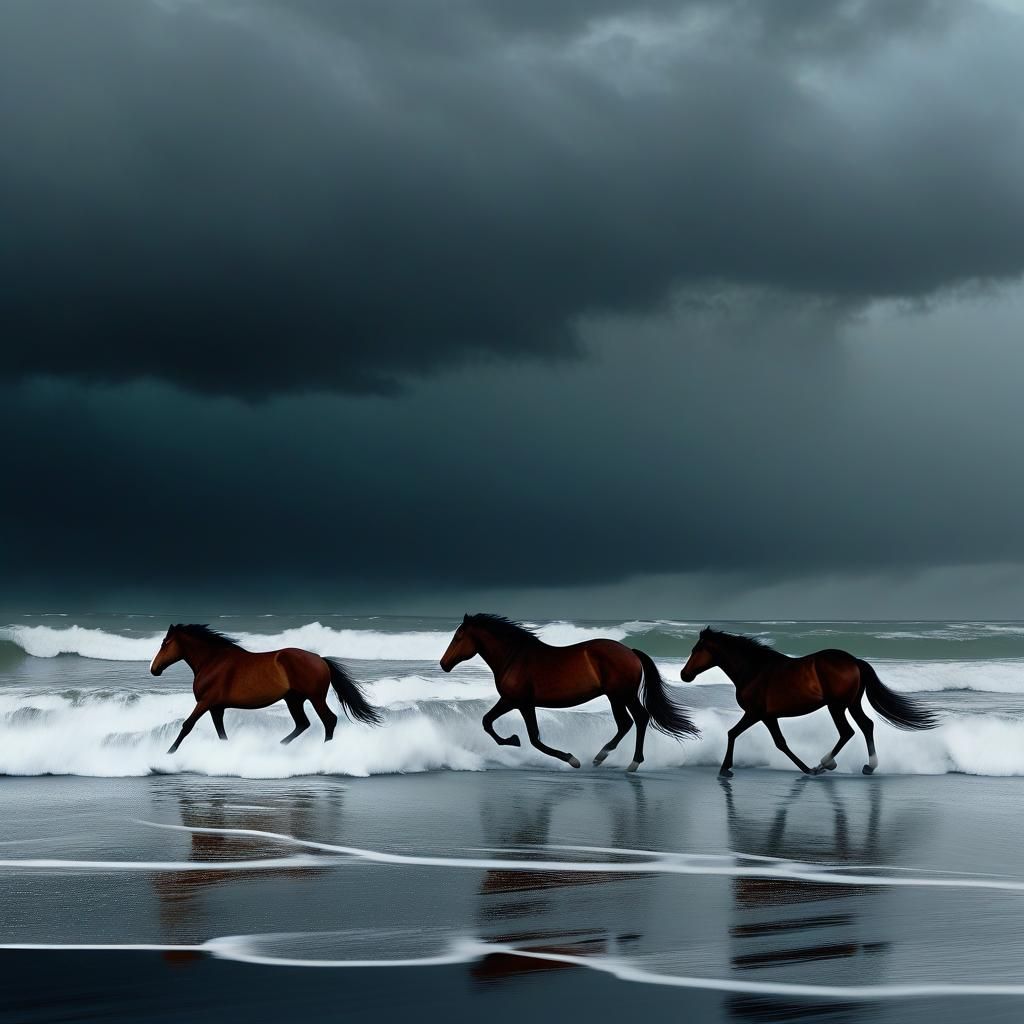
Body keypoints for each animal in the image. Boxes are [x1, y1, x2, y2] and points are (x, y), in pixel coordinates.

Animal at [151, 624, 381, 753]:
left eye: (164, 643)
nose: (154, 669)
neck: (212, 661)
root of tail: (320, 659)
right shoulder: (217, 708)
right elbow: (221, 733)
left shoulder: (205, 702)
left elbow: (187, 726)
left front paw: (168, 754)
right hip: (293, 699)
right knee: (302, 724)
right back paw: (277, 747)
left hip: (315, 698)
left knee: (329, 720)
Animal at [440, 613, 699, 772]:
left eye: (458, 637)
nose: (444, 663)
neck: (515, 657)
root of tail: (631, 652)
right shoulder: (515, 702)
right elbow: (490, 722)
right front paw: (513, 740)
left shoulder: (519, 702)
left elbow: (531, 738)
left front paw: (570, 759)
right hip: (619, 696)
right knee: (631, 721)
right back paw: (607, 757)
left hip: (619, 696)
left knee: (636, 719)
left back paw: (623, 761)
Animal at [680, 627, 939, 777]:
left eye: (695, 649)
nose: (684, 674)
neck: (754, 669)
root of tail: (854, 661)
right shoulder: (768, 716)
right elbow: (780, 743)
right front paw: (806, 768)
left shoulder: (756, 713)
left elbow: (733, 733)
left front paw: (725, 769)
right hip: (852, 704)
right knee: (866, 725)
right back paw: (868, 766)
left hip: (836, 706)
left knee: (847, 732)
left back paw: (825, 764)